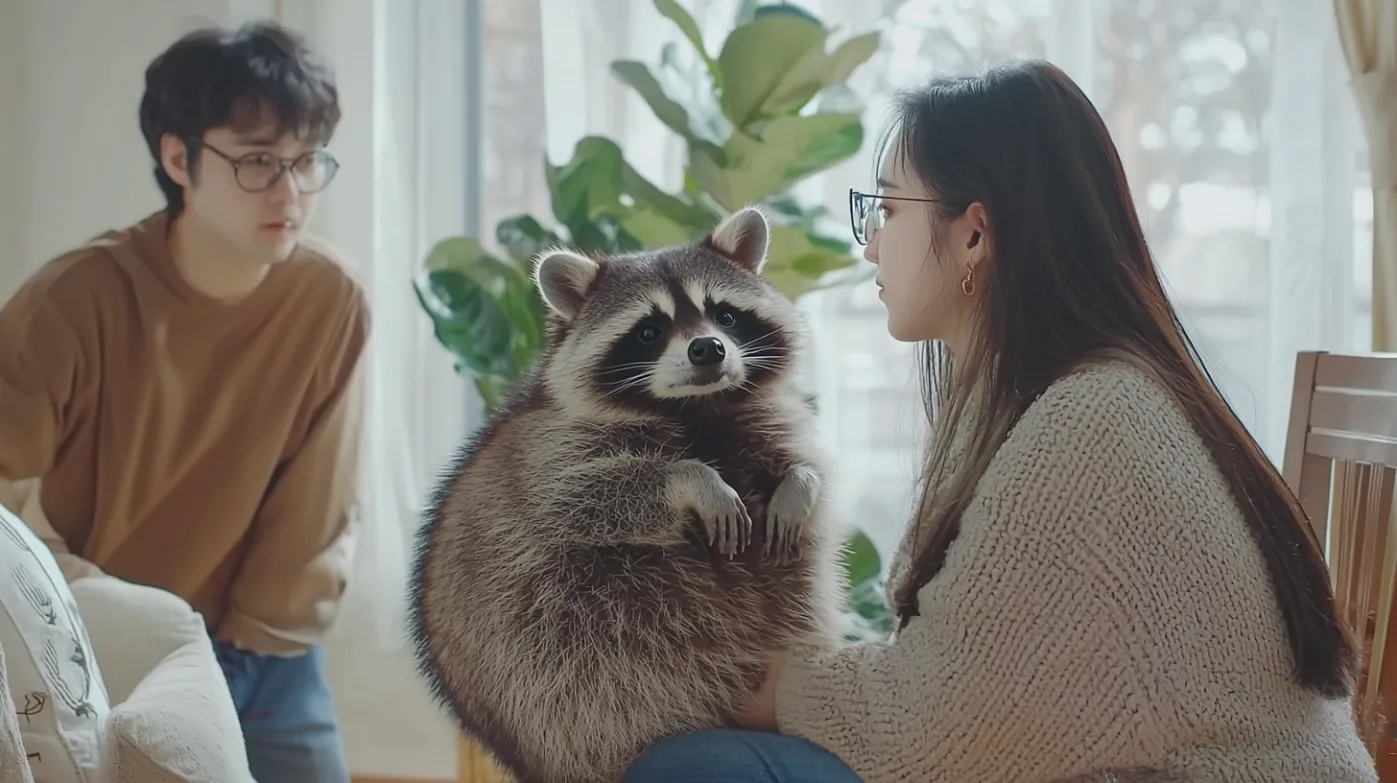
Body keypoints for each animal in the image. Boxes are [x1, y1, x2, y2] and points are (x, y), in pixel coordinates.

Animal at [407, 207, 846, 783]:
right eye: (649, 331)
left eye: (725, 316)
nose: (708, 349)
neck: (698, 407)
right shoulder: (549, 445)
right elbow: (576, 496)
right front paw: (690, 480)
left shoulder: (769, 418)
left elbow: (814, 464)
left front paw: (800, 485)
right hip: (573, 684)